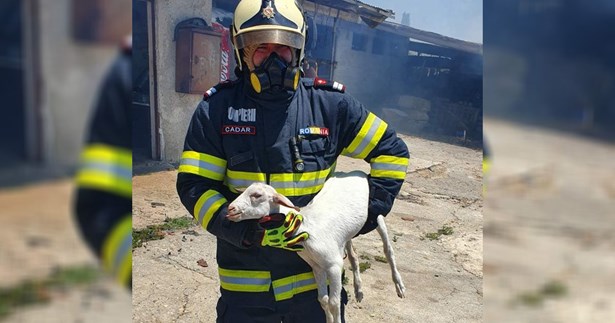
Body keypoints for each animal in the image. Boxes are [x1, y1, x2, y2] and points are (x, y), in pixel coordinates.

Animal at [229, 171, 406, 322]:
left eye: (257, 195)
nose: (230, 209)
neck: (305, 227)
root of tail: (356, 172)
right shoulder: (316, 266)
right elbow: (323, 299)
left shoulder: (334, 265)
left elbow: (334, 303)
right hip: (347, 235)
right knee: (354, 256)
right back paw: (358, 290)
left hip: (376, 215)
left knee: (388, 250)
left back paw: (399, 286)